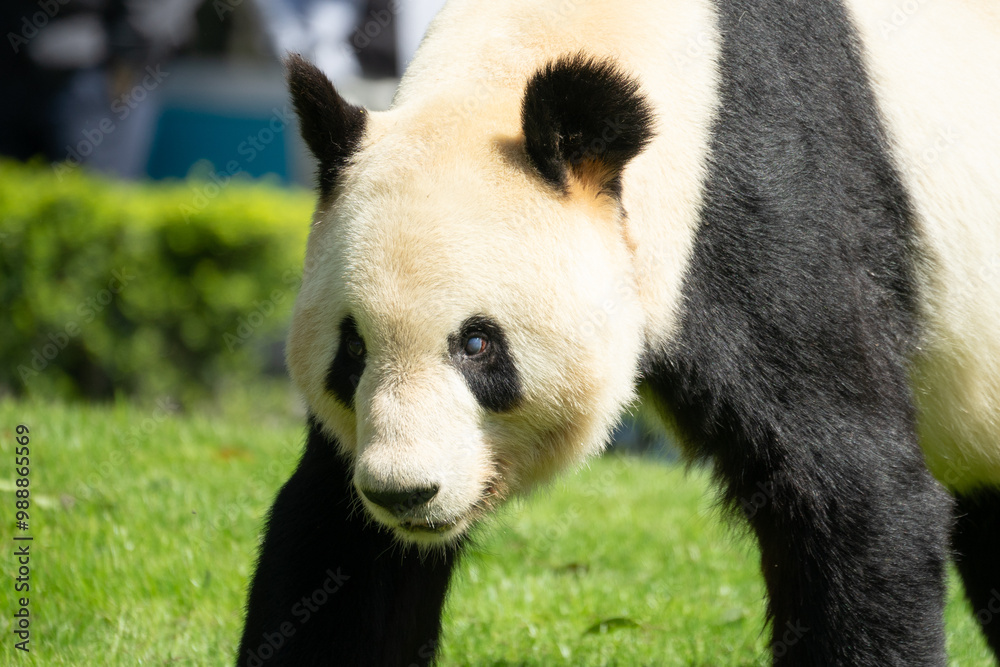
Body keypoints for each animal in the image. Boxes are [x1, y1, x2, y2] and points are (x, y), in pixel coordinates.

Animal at [238, 0, 1000, 665]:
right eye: (353, 349)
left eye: (478, 345)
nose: (406, 493)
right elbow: (338, 546)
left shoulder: (773, 202)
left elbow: (848, 488)